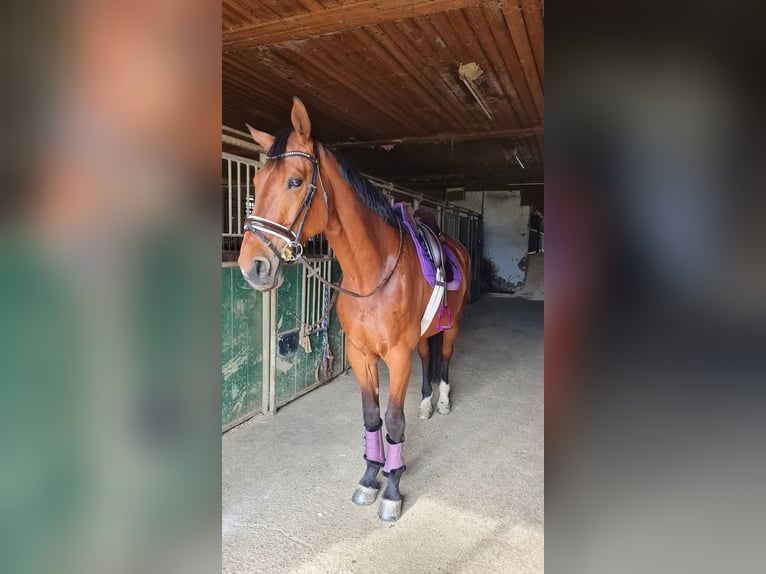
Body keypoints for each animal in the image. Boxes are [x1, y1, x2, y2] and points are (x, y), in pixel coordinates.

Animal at [238, 98, 468, 520]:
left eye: (295, 182)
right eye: (256, 183)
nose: (253, 266)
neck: (371, 276)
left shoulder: (396, 357)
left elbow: (393, 420)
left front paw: (392, 489)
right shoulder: (361, 354)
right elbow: (371, 417)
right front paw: (369, 478)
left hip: (453, 325)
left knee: (444, 356)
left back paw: (442, 401)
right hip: (422, 335)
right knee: (428, 356)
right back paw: (426, 403)